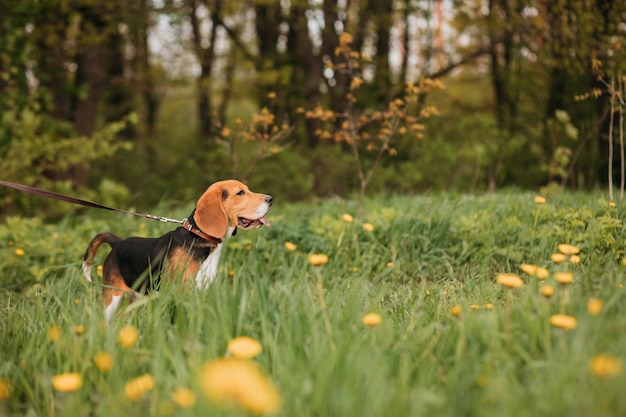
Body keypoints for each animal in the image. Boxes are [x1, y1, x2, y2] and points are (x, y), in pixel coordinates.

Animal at [81, 179, 270, 318]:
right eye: (240, 193)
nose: (270, 199)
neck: (199, 237)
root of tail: (118, 242)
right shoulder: (181, 292)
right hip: (112, 296)